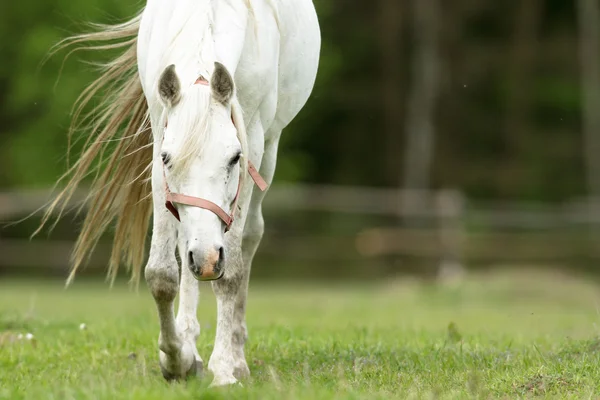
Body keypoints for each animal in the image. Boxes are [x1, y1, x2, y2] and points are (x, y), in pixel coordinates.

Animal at [39, 0, 322, 388]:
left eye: (235, 158)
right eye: (167, 159)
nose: (207, 259)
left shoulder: (253, 141)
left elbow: (230, 274)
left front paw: (225, 368)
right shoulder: (160, 140)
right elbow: (162, 273)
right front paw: (177, 360)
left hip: (270, 150)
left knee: (248, 238)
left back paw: (237, 354)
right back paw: (190, 341)